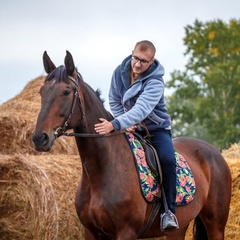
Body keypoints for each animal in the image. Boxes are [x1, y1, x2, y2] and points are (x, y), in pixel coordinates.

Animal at [31, 51, 232, 240]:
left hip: (215, 225)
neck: (101, 171)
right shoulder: (91, 232)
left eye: (66, 91)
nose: (39, 138)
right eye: (42, 92)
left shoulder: (125, 232)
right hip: (179, 228)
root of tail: (214, 153)